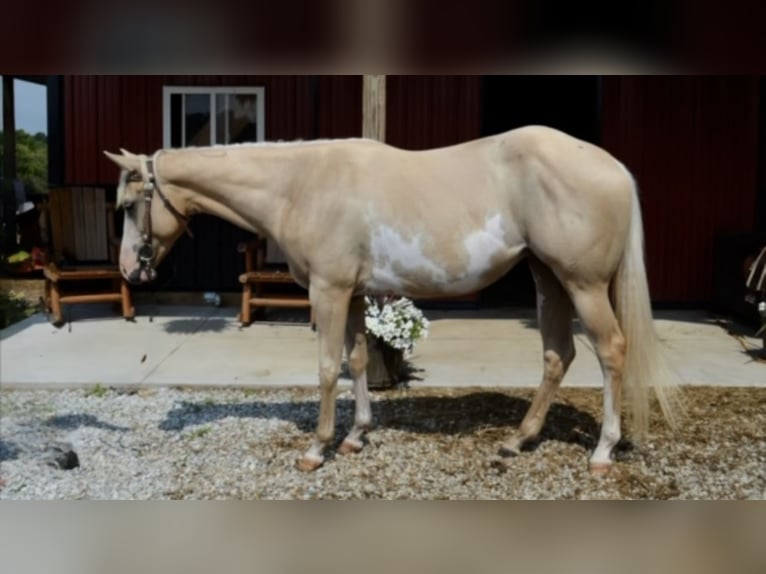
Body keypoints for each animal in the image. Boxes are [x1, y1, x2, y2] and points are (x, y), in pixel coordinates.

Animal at [105, 125, 680, 474]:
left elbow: (326, 370)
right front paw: (356, 437)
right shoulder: (354, 295)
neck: (300, 185)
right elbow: (358, 360)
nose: (130, 268)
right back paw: (518, 440)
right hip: (549, 278)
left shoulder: (329, 292)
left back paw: (602, 451)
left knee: (611, 351)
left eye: (131, 204)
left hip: (583, 284)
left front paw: (317, 449)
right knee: (559, 355)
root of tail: (614, 167)